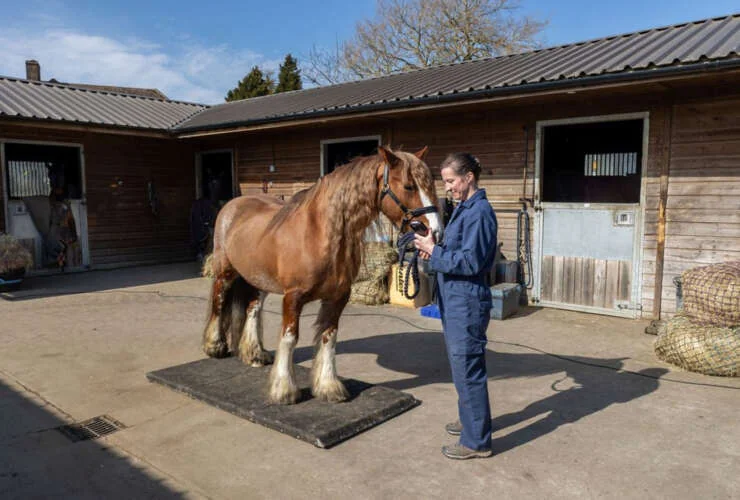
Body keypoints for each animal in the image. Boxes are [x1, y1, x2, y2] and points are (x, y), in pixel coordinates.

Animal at [201, 146, 441, 404]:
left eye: (429, 185)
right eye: (409, 186)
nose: (434, 232)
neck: (318, 234)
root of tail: (233, 205)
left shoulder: (337, 298)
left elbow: (329, 337)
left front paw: (328, 387)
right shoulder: (293, 298)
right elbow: (290, 338)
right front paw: (284, 390)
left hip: (259, 278)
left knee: (252, 308)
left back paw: (255, 354)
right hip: (225, 272)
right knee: (218, 301)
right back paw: (214, 347)